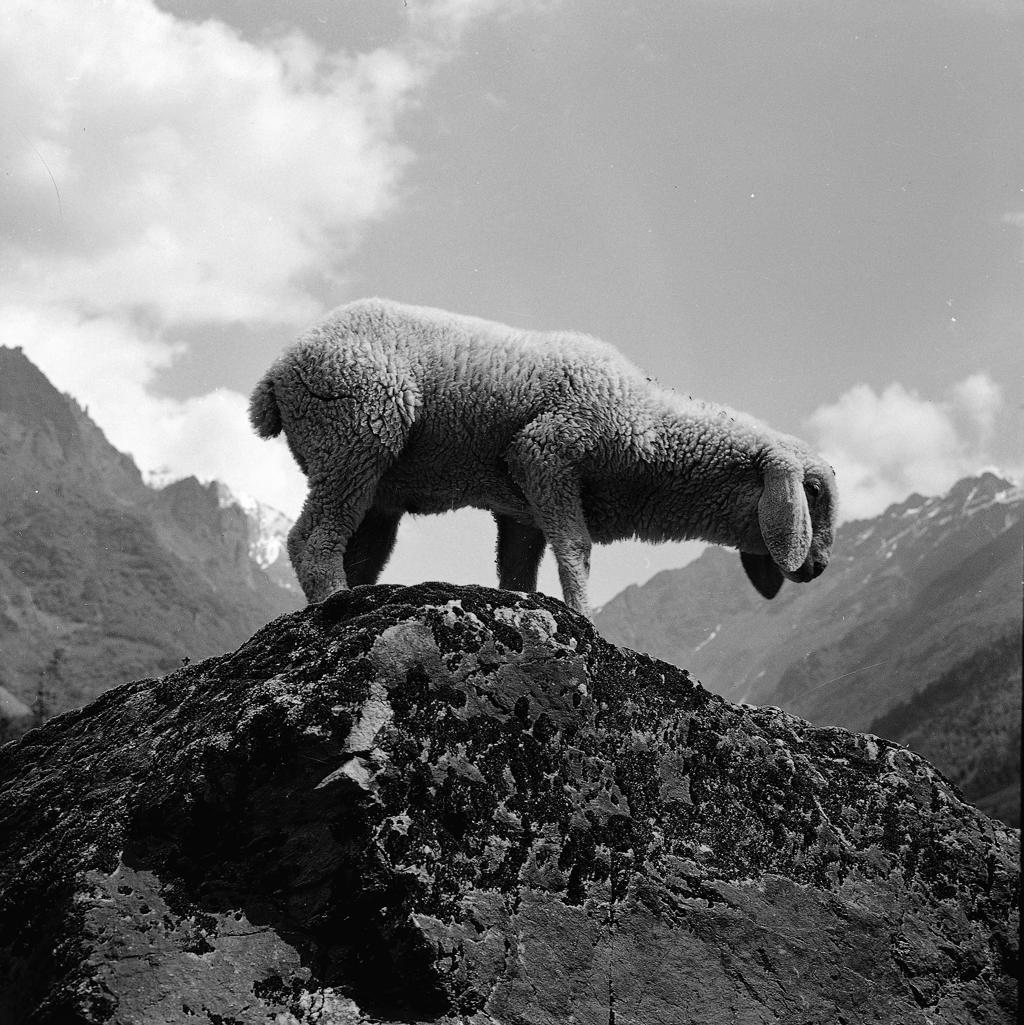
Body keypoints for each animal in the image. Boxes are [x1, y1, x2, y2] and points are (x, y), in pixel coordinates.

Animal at [249, 298, 838, 616]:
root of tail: (276, 372)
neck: (648, 425)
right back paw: (333, 603)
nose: (818, 568)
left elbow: (516, 573)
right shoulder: (546, 451)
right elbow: (576, 548)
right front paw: (585, 619)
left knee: (351, 545)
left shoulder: (521, 508)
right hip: (356, 433)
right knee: (310, 540)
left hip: (374, 484)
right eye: (812, 494)